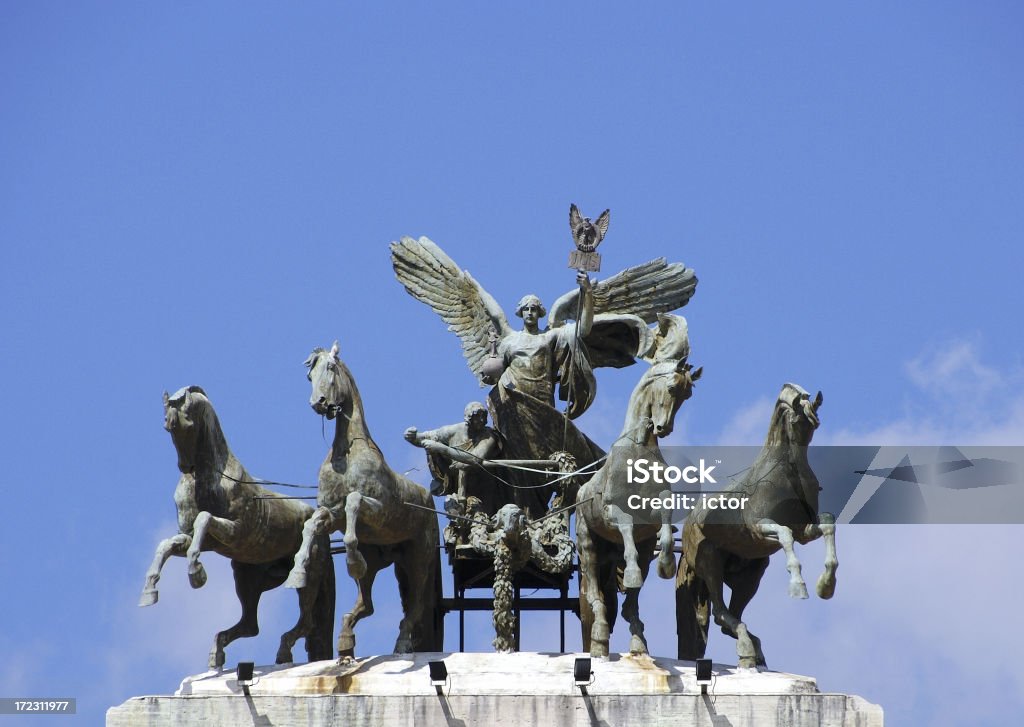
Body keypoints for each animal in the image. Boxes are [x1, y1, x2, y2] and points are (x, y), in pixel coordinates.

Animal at [136, 387, 333, 671]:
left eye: (187, 423)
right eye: (166, 426)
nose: (185, 467)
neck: (210, 478)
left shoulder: (235, 533)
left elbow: (205, 519)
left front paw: (197, 574)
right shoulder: (195, 538)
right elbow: (166, 545)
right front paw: (149, 592)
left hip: (310, 573)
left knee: (306, 621)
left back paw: (283, 650)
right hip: (246, 577)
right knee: (251, 625)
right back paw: (217, 652)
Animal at [284, 344, 444, 659]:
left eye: (331, 368)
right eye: (310, 375)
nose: (319, 403)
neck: (346, 453)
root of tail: (429, 503)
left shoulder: (377, 511)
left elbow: (354, 502)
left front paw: (352, 562)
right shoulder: (331, 513)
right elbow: (313, 523)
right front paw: (297, 572)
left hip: (418, 558)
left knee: (416, 606)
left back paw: (401, 643)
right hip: (380, 561)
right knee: (367, 605)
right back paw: (346, 639)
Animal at [577, 329, 704, 659]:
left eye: (687, 395)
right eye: (671, 387)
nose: (663, 428)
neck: (638, 451)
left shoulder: (655, 513)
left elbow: (663, 525)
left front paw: (667, 564)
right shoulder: (612, 513)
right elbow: (627, 530)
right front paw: (633, 572)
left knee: (628, 604)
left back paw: (637, 639)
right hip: (588, 544)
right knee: (594, 590)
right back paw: (599, 635)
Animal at [675, 385, 835, 667]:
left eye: (815, 424)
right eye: (796, 422)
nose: (806, 479)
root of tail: (685, 533)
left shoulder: (804, 530)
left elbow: (827, 524)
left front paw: (826, 584)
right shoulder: (760, 528)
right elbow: (785, 536)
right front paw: (798, 585)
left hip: (750, 573)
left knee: (729, 617)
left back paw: (753, 649)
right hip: (710, 562)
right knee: (720, 612)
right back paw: (747, 646)